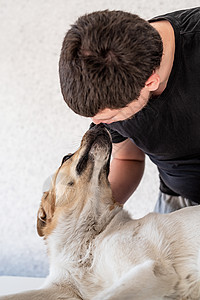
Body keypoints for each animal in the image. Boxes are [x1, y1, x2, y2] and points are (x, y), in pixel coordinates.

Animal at [1, 125, 200, 300]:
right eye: (66, 157)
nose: (99, 124)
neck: (89, 237)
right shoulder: (62, 288)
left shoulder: (151, 270)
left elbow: (106, 296)